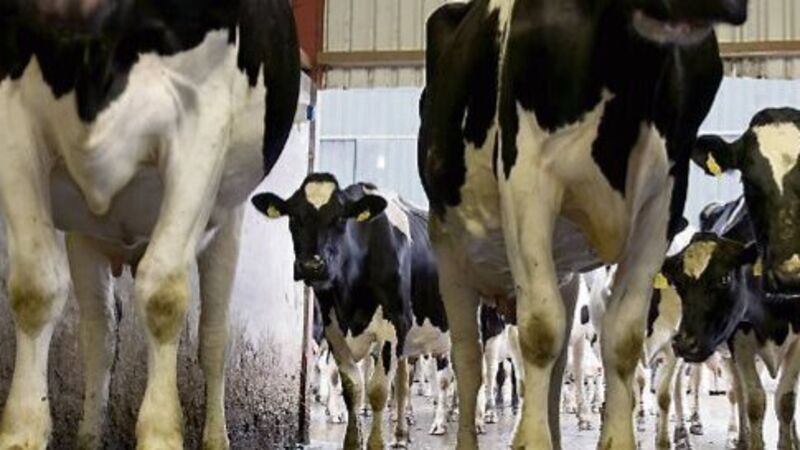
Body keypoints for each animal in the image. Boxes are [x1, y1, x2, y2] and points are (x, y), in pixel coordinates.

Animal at [0, 1, 299, 449]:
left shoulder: (201, 119)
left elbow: (163, 295)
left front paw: (160, 432)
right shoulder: (12, 112)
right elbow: (35, 290)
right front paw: (22, 432)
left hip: (227, 223)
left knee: (214, 338)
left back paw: (216, 437)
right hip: (85, 237)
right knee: (100, 335)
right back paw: (89, 436)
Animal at [252, 174, 451, 449]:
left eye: (339, 219)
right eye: (293, 217)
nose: (311, 265)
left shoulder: (392, 328)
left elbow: (377, 390)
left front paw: (375, 443)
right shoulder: (333, 330)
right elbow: (352, 387)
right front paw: (353, 441)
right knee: (403, 381)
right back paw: (401, 435)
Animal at [417, 0, 748, 447]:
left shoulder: (663, 199)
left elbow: (622, 339)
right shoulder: (527, 180)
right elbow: (539, 330)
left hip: (565, 277)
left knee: (556, 367)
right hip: (451, 253)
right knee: (467, 362)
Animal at [668, 232, 800, 450]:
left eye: (724, 278)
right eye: (678, 283)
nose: (685, 343)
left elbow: (786, 401)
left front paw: (789, 444)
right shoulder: (740, 339)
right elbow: (754, 401)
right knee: (730, 390)